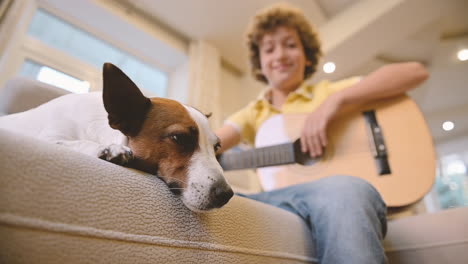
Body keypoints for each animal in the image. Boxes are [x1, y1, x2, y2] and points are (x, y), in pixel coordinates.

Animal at [0, 62, 233, 212]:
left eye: (217, 147)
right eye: (179, 138)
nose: (227, 194)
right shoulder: (49, 137)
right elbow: (76, 142)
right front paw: (108, 149)